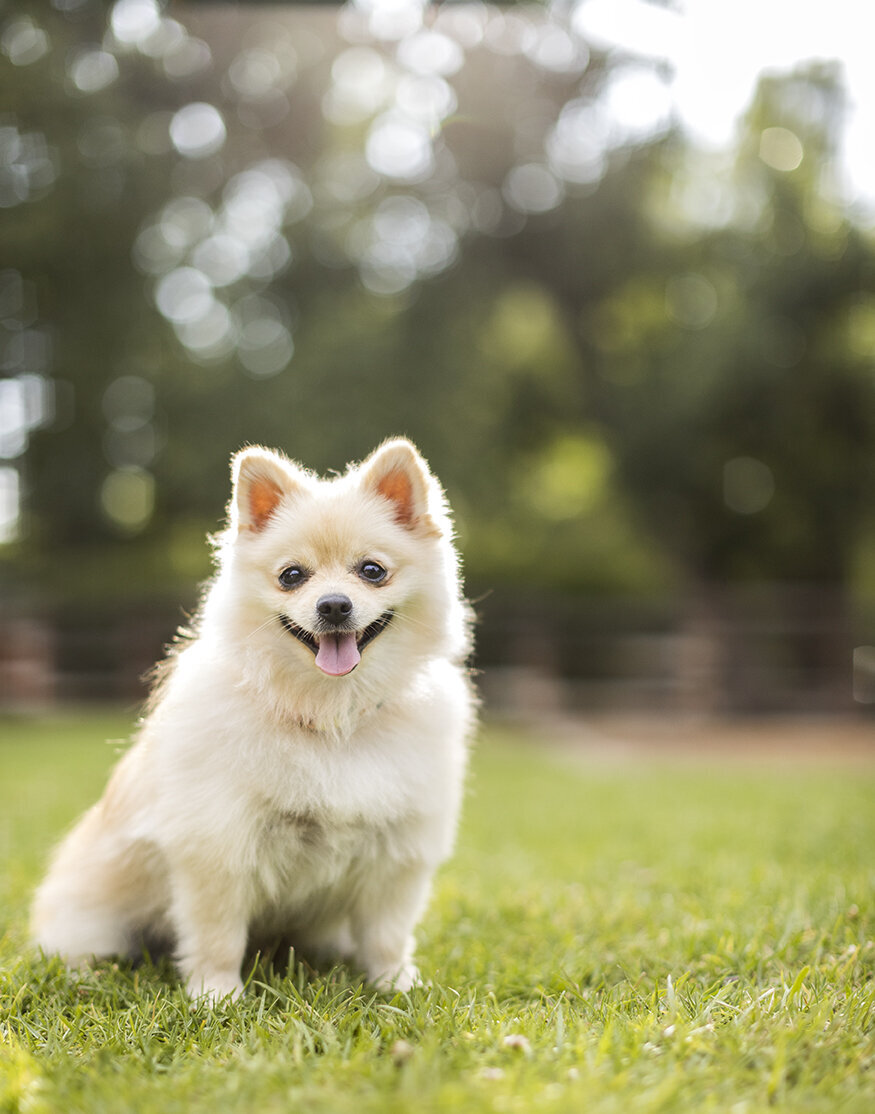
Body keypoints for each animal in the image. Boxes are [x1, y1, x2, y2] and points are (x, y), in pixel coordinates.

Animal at [30, 436, 474, 1002]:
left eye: (372, 570)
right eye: (292, 576)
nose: (333, 605)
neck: (330, 716)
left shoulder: (396, 853)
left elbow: (387, 934)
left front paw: (395, 985)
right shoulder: (218, 844)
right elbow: (217, 934)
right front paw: (216, 996)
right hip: (94, 916)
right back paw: (90, 973)